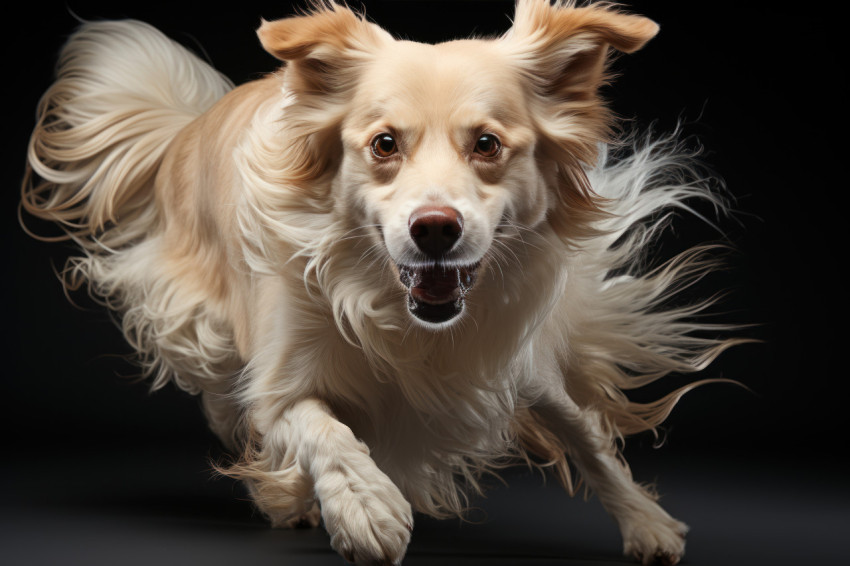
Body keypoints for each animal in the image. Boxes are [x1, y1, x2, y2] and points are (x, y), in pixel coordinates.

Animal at [21, 1, 744, 566]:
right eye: (384, 144)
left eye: (487, 144)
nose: (435, 229)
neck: (398, 313)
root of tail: (194, 121)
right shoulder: (278, 382)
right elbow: (321, 430)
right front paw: (366, 509)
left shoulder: (514, 366)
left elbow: (588, 437)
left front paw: (647, 524)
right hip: (207, 332)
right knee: (234, 409)